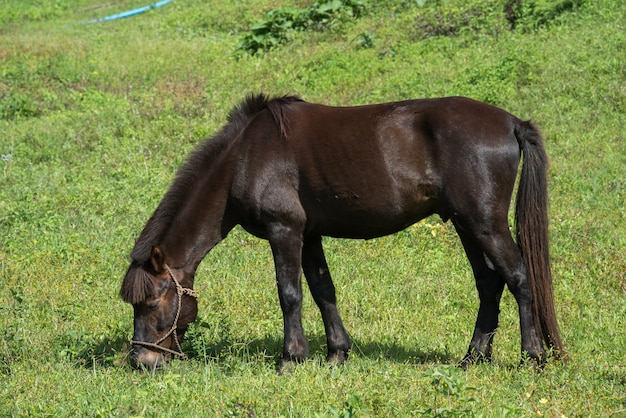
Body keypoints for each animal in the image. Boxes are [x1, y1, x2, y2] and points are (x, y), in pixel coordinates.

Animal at [119, 94, 564, 370]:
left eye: (153, 302)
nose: (142, 362)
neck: (244, 158)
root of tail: (511, 123)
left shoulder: (285, 231)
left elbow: (290, 294)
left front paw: (291, 358)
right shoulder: (309, 235)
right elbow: (323, 291)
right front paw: (336, 354)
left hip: (484, 224)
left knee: (519, 278)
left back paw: (532, 356)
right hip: (466, 224)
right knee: (490, 283)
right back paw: (473, 357)